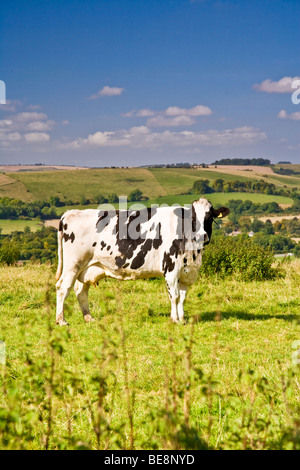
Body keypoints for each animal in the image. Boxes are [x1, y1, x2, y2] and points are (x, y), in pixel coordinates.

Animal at [55, 196, 230, 324]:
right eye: (192, 218)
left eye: (209, 217)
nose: (201, 235)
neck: (193, 252)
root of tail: (70, 213)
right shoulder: (171, 268)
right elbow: (174, 295)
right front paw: (174, 320)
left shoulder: (187, 272)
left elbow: (182, 297)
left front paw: (182, 319)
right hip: (73, 265)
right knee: (63, 288)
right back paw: (61, 320)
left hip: (87, 267)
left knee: (81, 291)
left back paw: (88, 318)